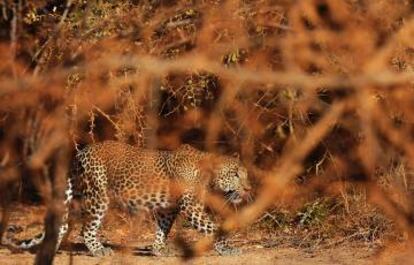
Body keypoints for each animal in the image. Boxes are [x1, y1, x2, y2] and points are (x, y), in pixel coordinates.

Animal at [4, 140, 252, 256]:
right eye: (235, 174)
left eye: (245, 174)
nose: (249, 189)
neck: (206, 175)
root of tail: (80, 152)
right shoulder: (191, 207)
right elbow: (214, 228)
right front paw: (228, 249)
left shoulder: (167, 208)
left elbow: (162, 228)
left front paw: (158, 249)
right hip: (98, 196)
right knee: (86, 228)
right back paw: (99, 250)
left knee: (62, 225)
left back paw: (50, 251)